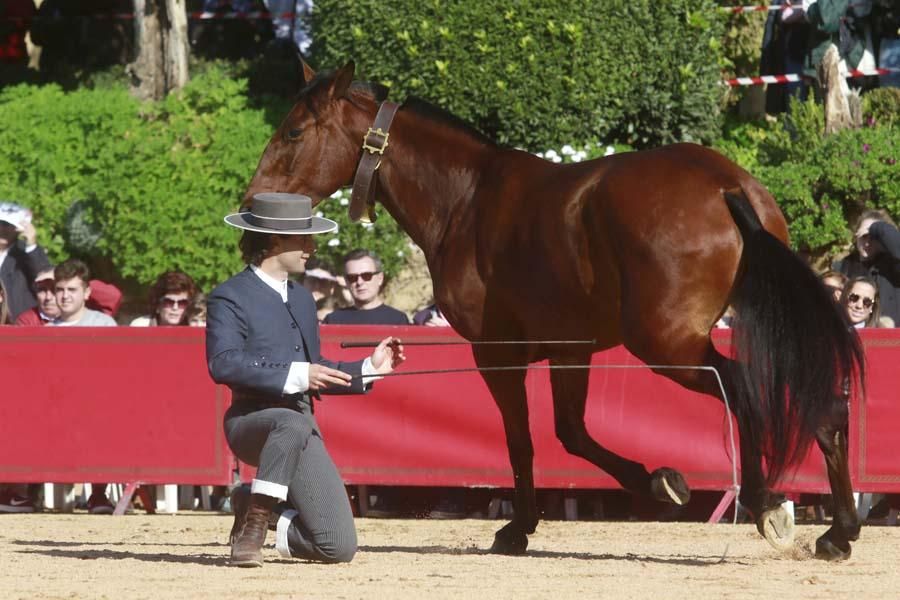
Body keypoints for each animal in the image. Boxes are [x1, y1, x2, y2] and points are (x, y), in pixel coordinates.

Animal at [244, 61, 864, 556]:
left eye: (294, 130)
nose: (251, 204)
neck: (466, 200)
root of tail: (723, 187)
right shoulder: (572, 349)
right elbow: (571, 432)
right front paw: (660, 480)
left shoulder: (497, 354)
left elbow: (522, 440)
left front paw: (519, 527)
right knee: (822, 404)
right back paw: (838, 530)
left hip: (666, 344)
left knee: (748, 392)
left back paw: (767, 502)